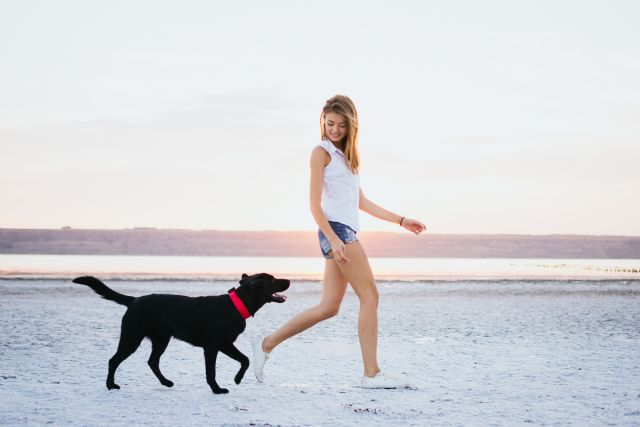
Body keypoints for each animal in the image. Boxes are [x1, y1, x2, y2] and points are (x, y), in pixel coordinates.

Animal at [71, 274, 288, 394]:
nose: (288, 280)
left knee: (152, 361)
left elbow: (245, 359)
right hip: (132, 338)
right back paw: (111, 385)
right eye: (273, 280)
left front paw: (237, 379)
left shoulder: (224, 344)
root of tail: (133, 300)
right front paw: (217, 389)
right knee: (113, 360)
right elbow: (212, 371)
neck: (236, 305)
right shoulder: (213, 347)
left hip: (161, 339)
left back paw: (166, 382)